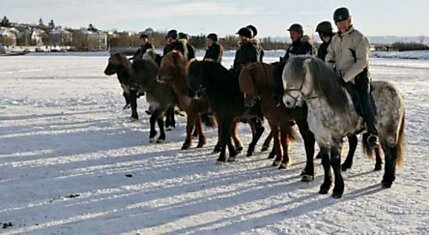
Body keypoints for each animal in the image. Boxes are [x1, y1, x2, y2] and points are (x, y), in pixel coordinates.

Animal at [280, 55, 404, 198]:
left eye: (301, 77)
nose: (287, 102)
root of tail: (396, 92)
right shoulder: (321, 138)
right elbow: (326, 162)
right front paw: (325, 186)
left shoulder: (335, 138)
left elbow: (334, 162)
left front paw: (338, 189)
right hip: (382, 133)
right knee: (388, 152)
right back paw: (387, 178)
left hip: (389, 131)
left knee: (392, 153)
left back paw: (387, 180)